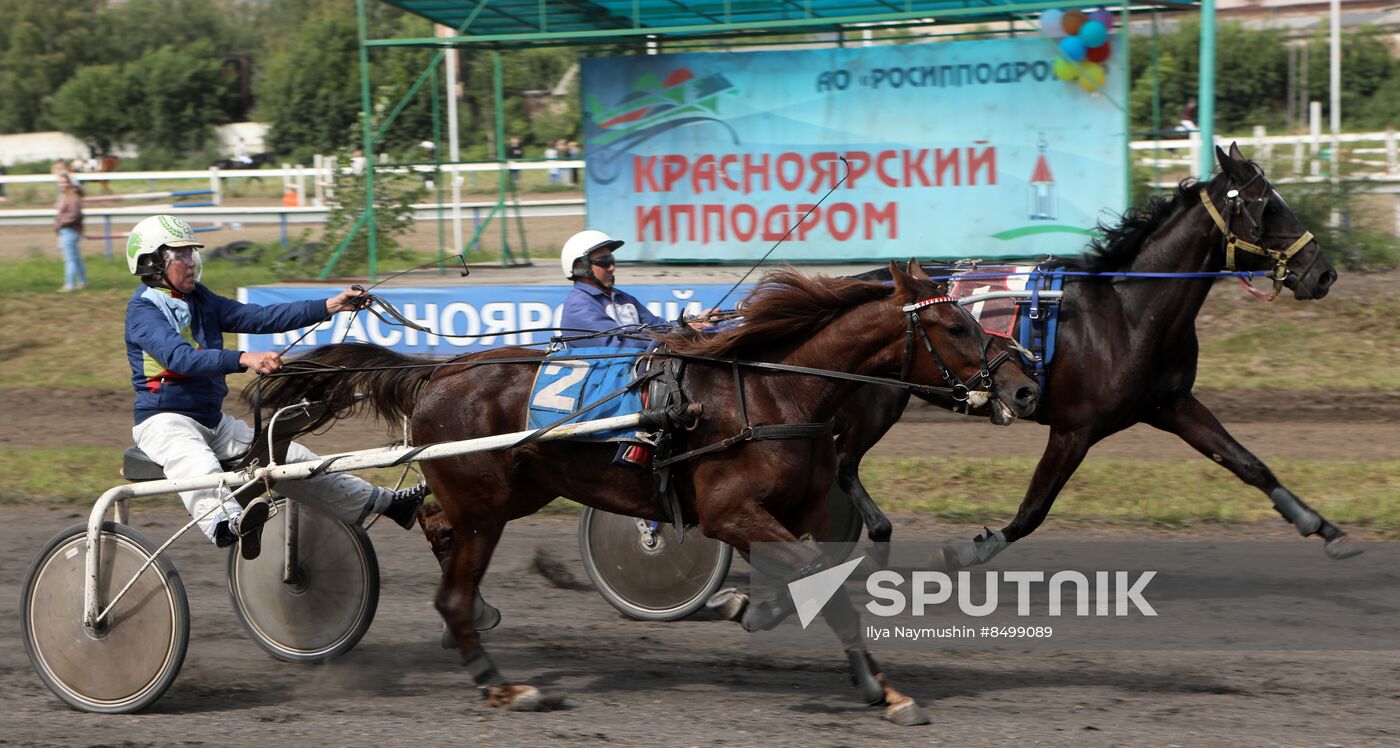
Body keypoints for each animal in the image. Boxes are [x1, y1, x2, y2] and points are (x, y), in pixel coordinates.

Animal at [254, 264, 1041, 728]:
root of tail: (439, 372)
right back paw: (503, 683)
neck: (773, 393)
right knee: (449, 583)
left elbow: (826, 580)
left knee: (436, 527)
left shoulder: (804, 509)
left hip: (509, 494)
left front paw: (870, 678)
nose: (1026, 384)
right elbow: (819, 581)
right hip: (486, 504)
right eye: (955, 325)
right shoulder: (729, 511)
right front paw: (875, 685)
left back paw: (476, 619)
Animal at [828, 144, 1344, 568]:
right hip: (878, 399)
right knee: (843, 464)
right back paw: (874, 534)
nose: (1323, 273)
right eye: (1268, 206)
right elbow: (1033, 510)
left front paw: (1321, 525)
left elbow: (1248, 463)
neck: (1126, 311)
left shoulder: (1172, 404)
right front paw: (965, 550)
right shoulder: (1074, 429)